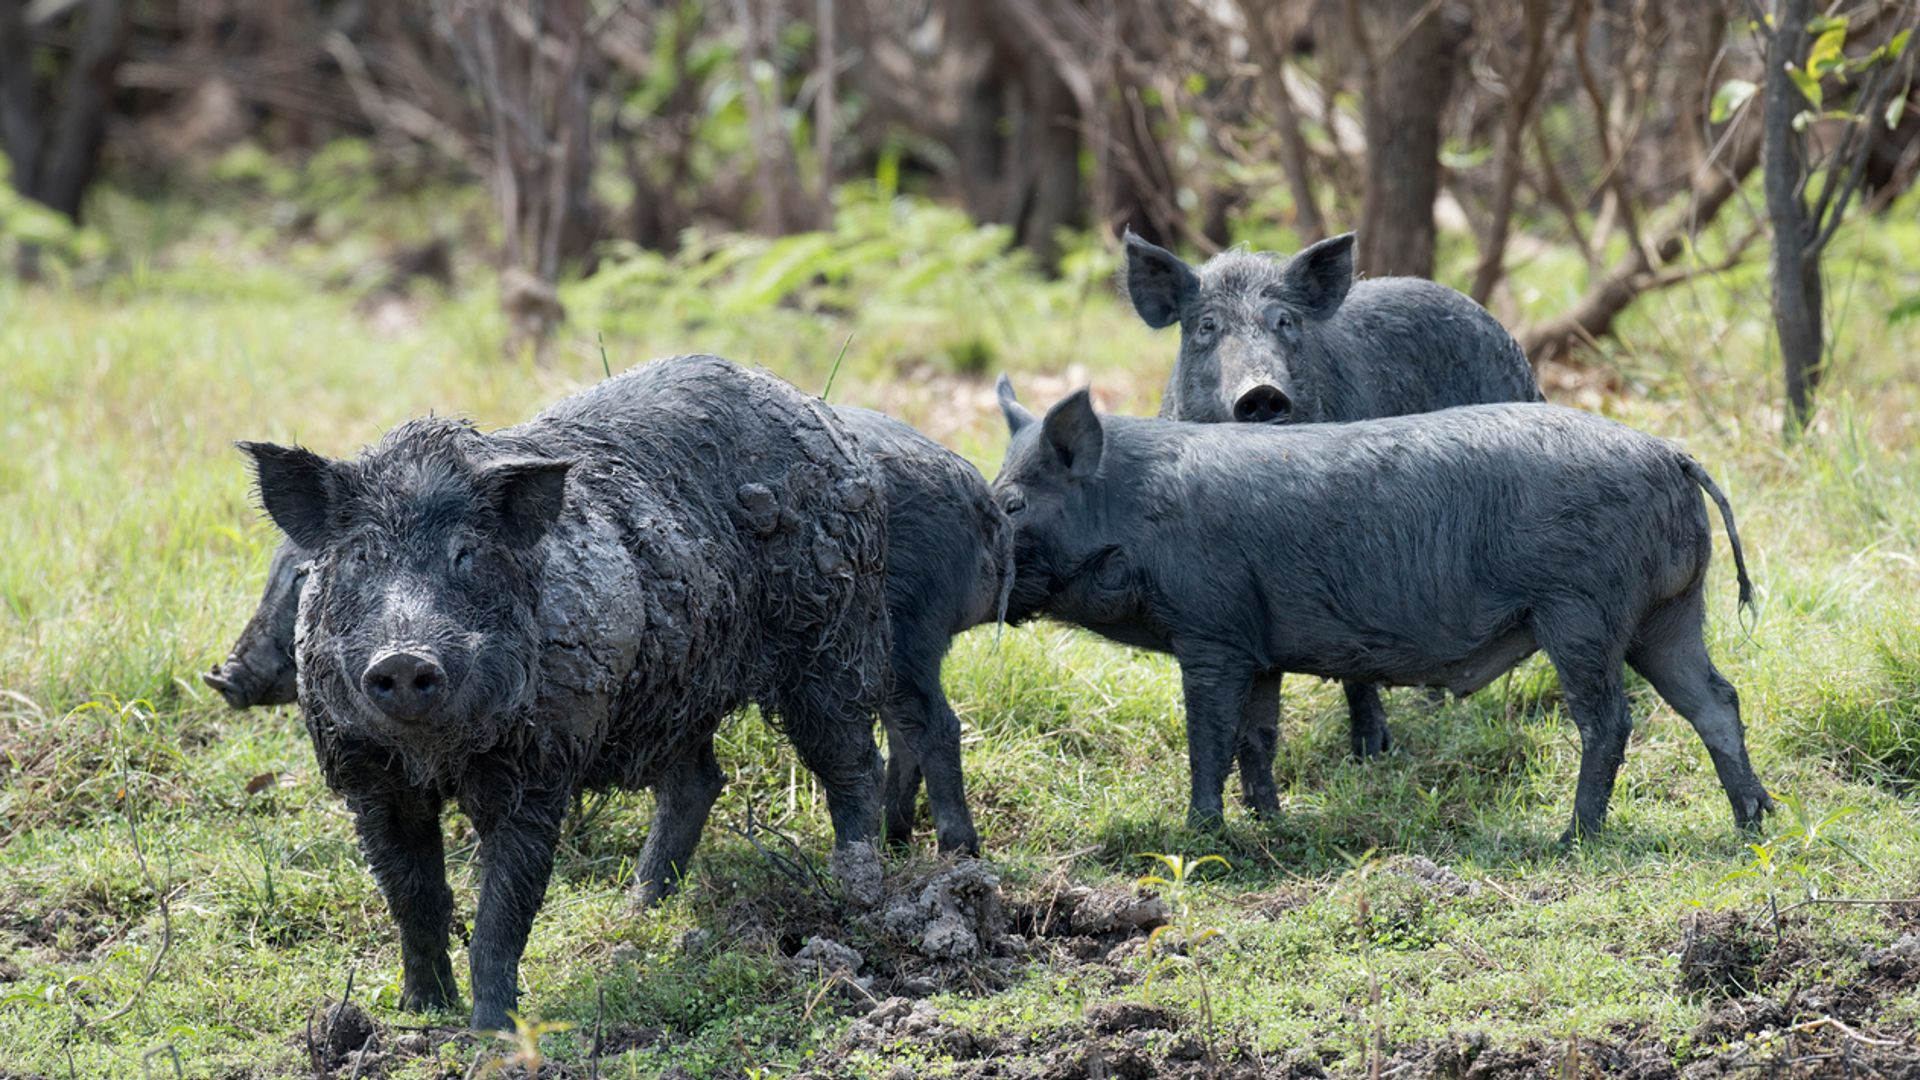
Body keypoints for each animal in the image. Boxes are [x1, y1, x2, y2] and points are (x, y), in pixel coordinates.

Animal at [212, 399, 1013, 853]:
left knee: (920, 728)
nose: (222, 675)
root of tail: (977, 492)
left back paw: (941, 855)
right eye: (337, 567)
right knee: (707, 779)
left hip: (876, 640)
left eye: (300, 577)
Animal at [240, 355, 890, 1022]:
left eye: (466, 553)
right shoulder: (367, 778)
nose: (403, 656)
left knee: (852, 760)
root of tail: (816, 412)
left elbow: (503, 912)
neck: (434, 757)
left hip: (830, 635)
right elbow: (413, 900)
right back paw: (639, 910)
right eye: (361, 556)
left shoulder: (539, 768)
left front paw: (491, 1030)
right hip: (678, 691)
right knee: (699, 781)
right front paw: (421, 1011)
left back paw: (861, 893)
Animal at [998, 374, 1774, 837]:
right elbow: (1258, 738)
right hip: (1667, 614)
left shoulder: (1210, 634)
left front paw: (1201, 834)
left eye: (1011, 503)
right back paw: (1754, 819)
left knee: (1610, 719)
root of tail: (1671, 454)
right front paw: (1272, 823)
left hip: (1581, 611)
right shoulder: (1258, 649)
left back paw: (1572, 838)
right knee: (1716, 698)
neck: (1132, 515)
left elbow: (1208, 739)